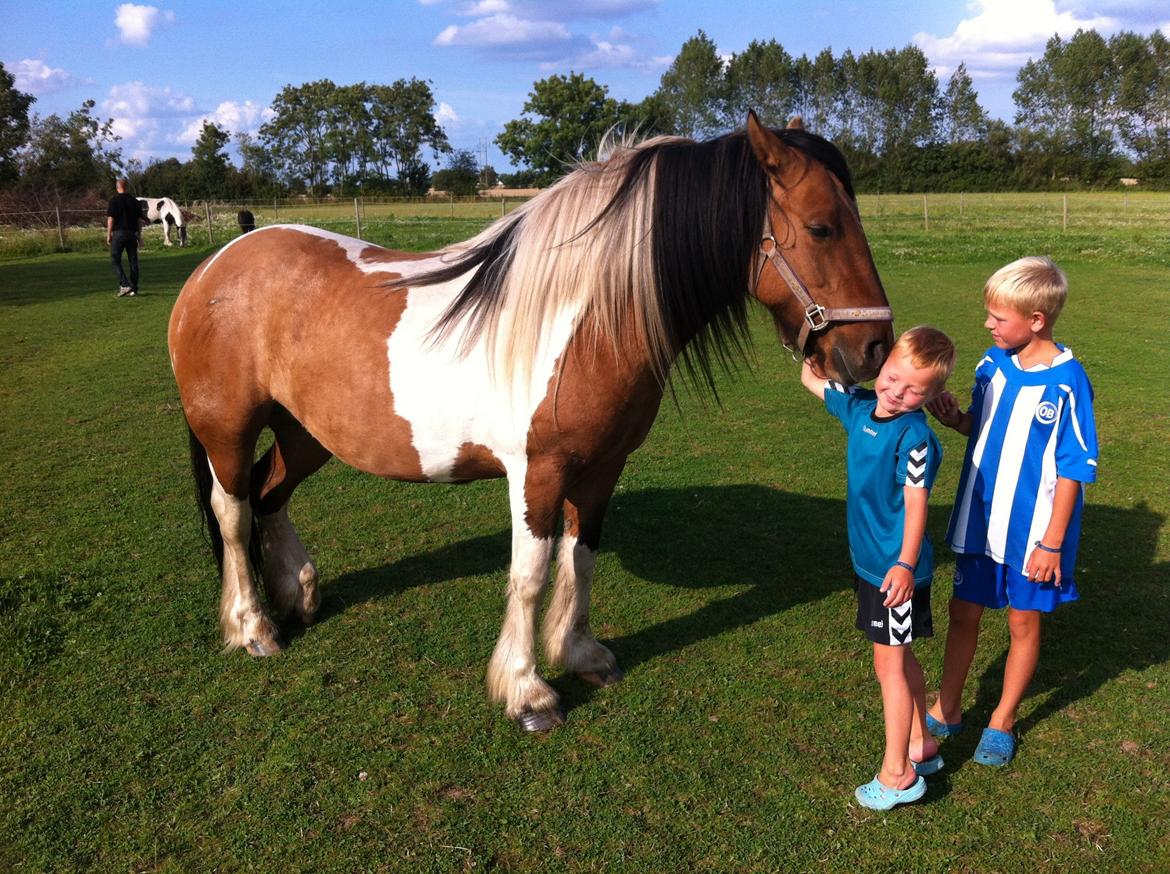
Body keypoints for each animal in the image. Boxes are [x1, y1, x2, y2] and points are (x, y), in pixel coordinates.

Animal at [167, 114, 893, 730]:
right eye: (823, 227)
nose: (875, 350)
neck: (584, 319)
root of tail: (215, 265)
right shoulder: (535, 473)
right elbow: (531, 574)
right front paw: (527, 692)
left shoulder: (601, 470)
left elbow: (582, 558)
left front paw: (582, 654)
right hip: (227, 430)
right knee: (234, 512)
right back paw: (254, 627)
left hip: (306, 434)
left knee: (271, 494)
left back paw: (298, 594)